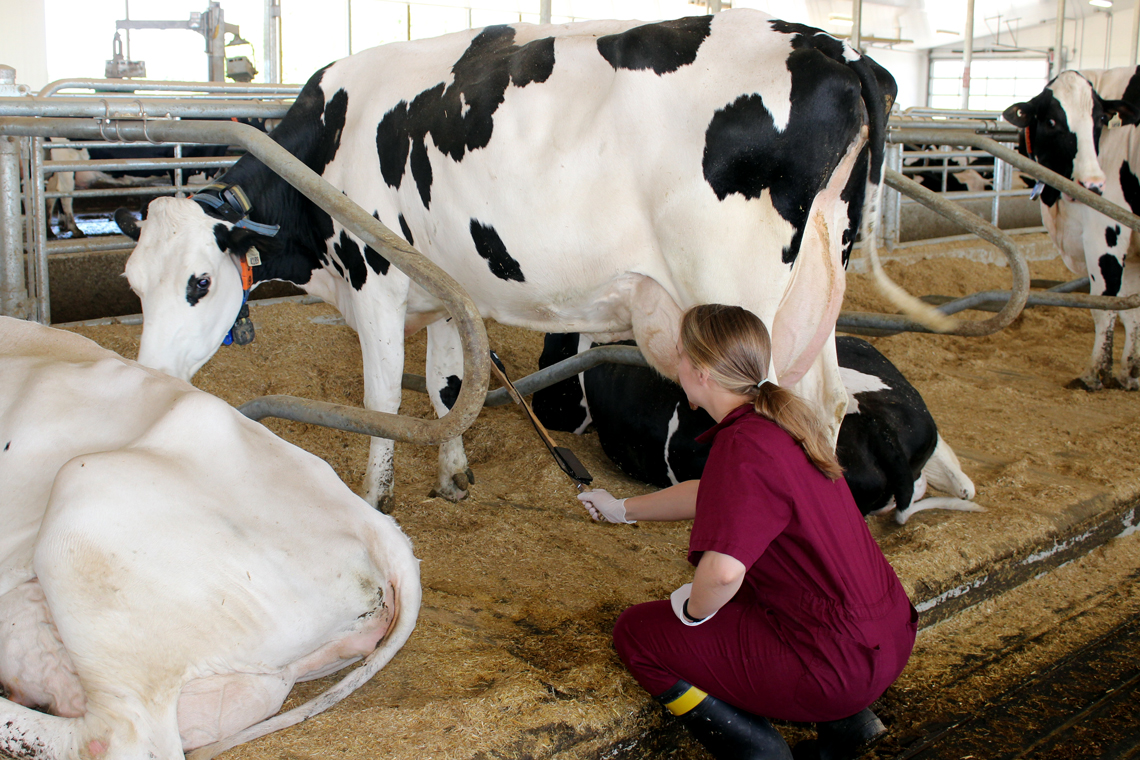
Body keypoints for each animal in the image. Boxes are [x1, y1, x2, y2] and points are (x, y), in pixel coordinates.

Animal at [113, 11, 953, 510]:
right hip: (815, 294)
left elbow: (382, 400)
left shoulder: (376, 282)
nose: (144, 381)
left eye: (199, 283)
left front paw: (377, 498)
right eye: (133, 285)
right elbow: (449, 385)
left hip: (743, 296)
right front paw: (454, 475)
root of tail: (837, 47)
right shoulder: (442, 286)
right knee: (827, 412)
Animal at [1007, 69, 1140, 391]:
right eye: (1052, 122)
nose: (1093, 185)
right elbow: (1131, 308)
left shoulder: (1106, 230)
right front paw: (1130, 371)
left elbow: (1104, 303)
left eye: (1101, 119)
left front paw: (1095, 374)